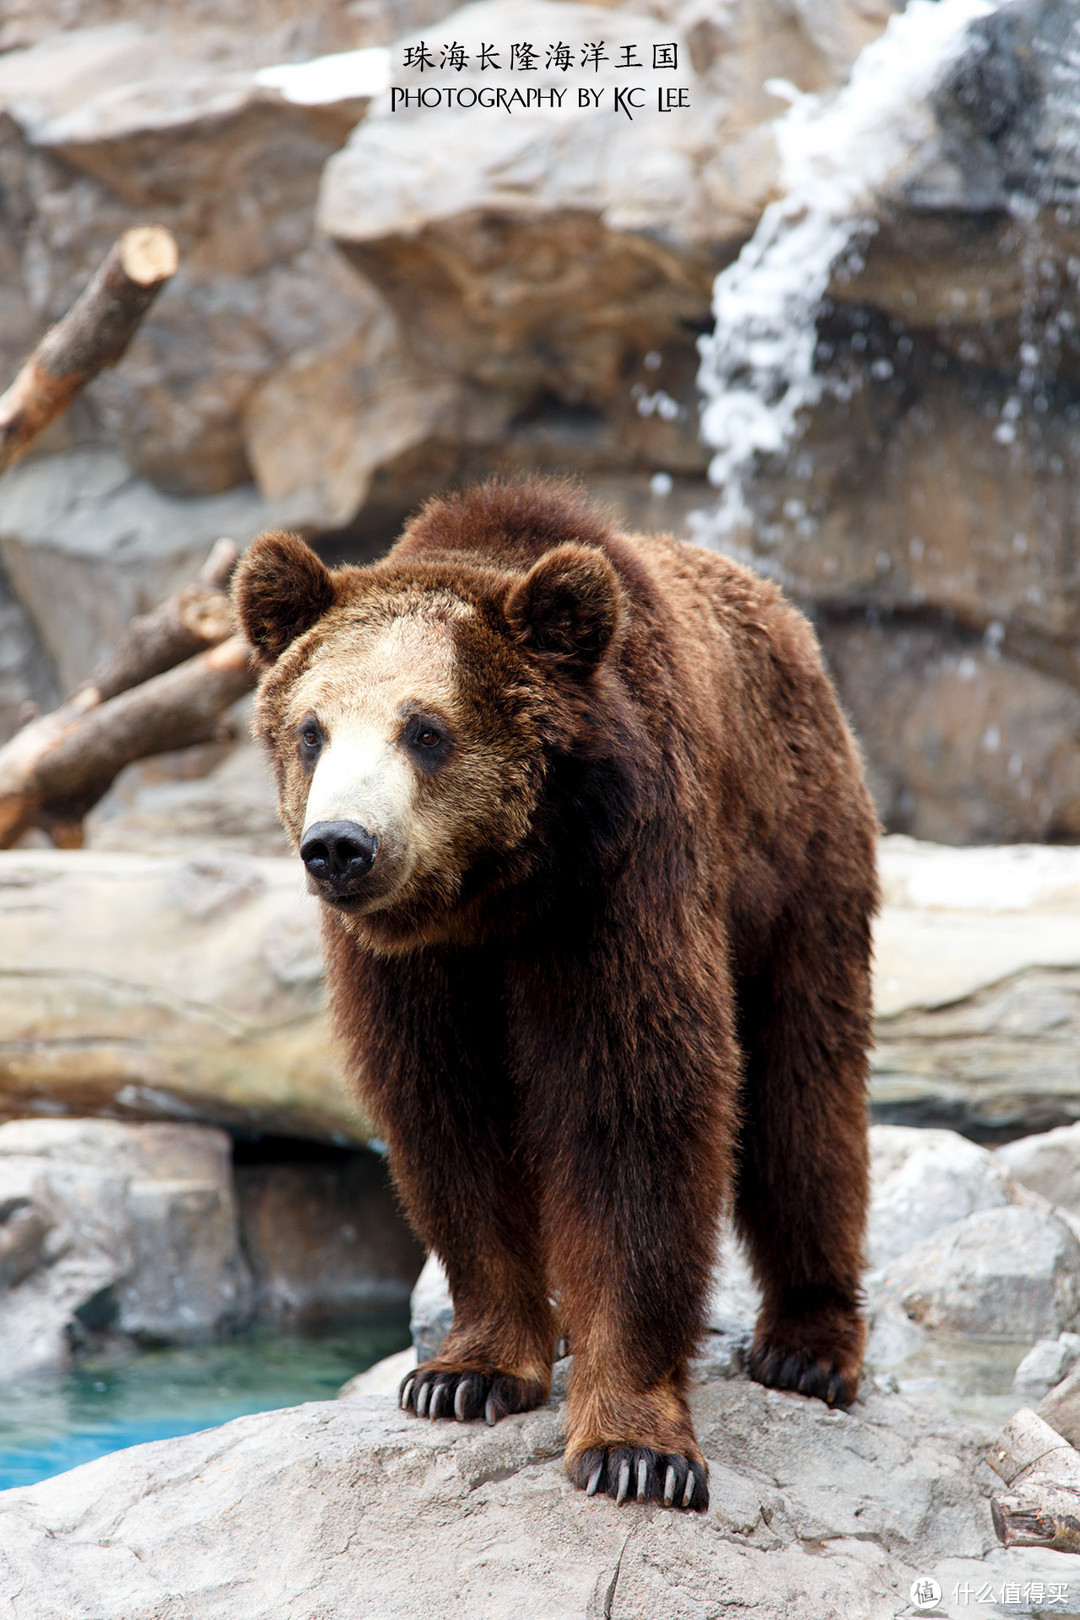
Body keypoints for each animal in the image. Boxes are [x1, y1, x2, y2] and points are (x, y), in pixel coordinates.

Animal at [236, 473, 880, 1509]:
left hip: (798, 853)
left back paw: (809, 1344)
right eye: (310, 730)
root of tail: (782, 608)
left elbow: (632, 1112)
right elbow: (445, 1113)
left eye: (426, 730)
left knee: (805, 1092)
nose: (340, 846)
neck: (494, 895)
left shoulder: (618, 883)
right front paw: (464, 1373)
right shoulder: (411, 968)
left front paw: (636, 1449)